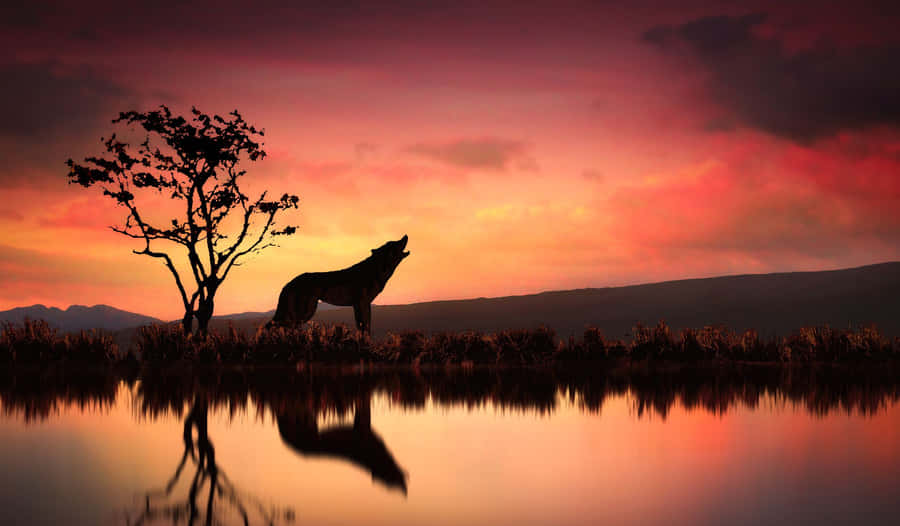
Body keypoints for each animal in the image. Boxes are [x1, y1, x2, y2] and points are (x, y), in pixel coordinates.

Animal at [268, 235, 410, 333]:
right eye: (397, 243)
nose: (406, 235)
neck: (376, 270)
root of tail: (288, 284)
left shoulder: (362, 305)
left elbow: (365, 328)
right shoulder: (361, 303)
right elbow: (364, 329)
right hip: (304, 313)